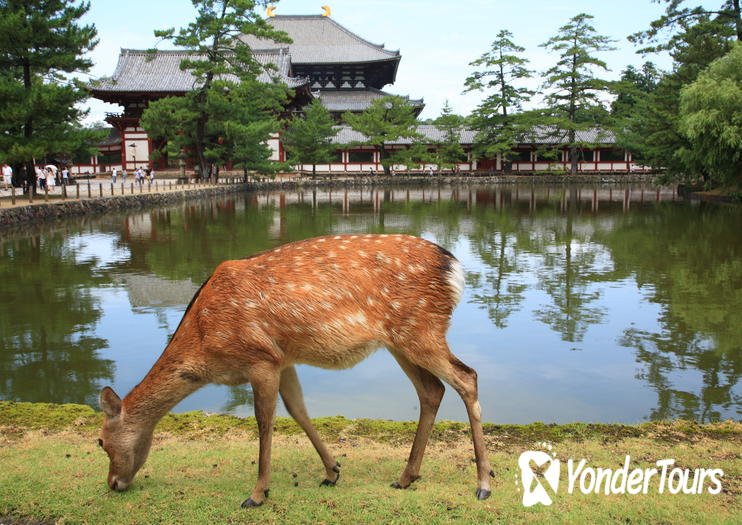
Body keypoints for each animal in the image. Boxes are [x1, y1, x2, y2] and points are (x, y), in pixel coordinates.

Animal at [99, 231, 494, 506]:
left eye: (100, 441)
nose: (113, 484)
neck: (206, 344)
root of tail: (455, 269)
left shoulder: (259, 358)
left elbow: (264, 421)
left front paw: (257, 493)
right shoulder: (282, 358)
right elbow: (298, 410)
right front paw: (332, 471)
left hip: (421, 329)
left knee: (467, 377)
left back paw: (483, 484)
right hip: (400, 340)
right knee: (432, 389)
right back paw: (407, 476)